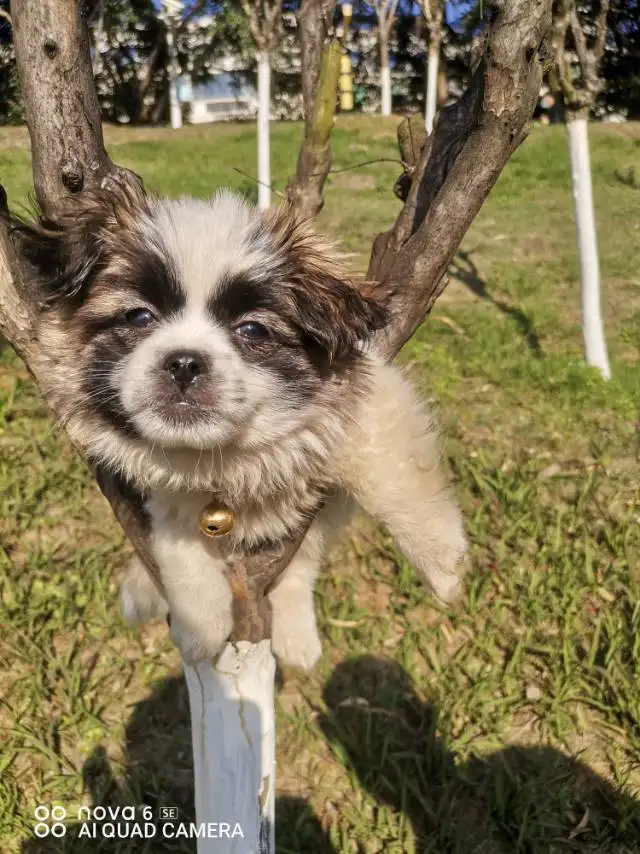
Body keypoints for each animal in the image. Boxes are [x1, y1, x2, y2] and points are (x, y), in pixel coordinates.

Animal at [13, 184, 464, 672]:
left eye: (251, 330)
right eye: (138, 317)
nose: (184, 362)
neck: (221, 457)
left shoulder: (371, 401)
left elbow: (395, 482)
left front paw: (442, 566)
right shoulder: (166, 499)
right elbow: (181, 551)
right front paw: (199, 627)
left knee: (302, 565)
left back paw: (297, 636)